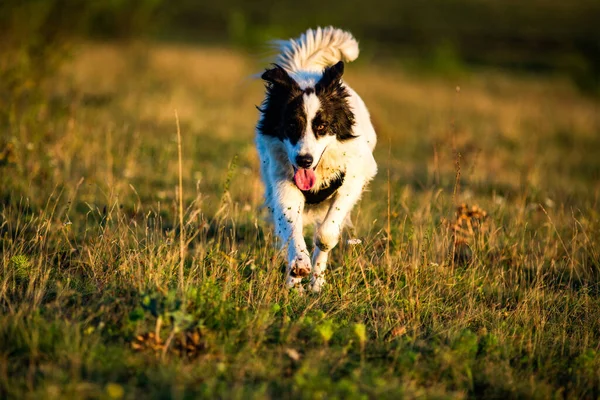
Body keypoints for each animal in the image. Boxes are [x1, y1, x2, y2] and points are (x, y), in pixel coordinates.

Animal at [255, 26, 378, 292]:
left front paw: (316, 269)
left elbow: (326, 233)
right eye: (291, 125)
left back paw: (316, 284)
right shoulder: (283, 182)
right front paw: (298, 266)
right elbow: (291, 225)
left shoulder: (353, 179)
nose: (304, 161)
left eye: (322, 126)